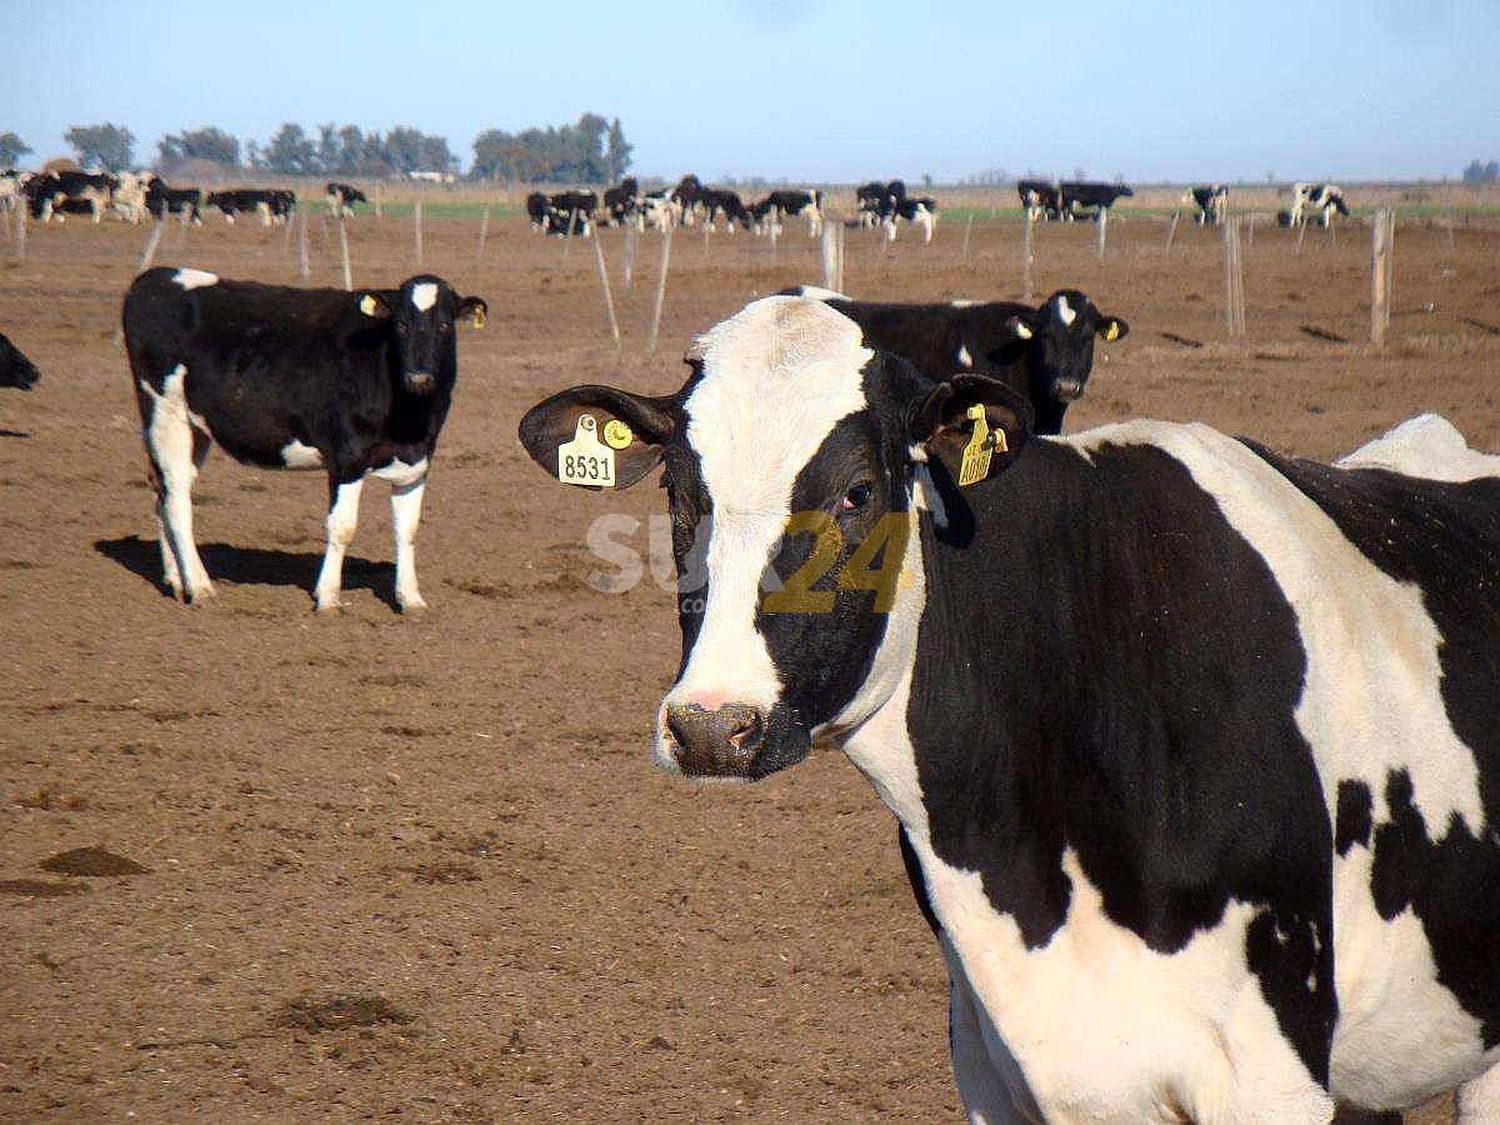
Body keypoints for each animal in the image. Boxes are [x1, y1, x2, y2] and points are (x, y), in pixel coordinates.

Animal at [124, 267, 486, 612]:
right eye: (400, 324)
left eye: (445, 325)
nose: (418, 377)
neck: (409, 418)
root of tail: (156, 276)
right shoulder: (347, 457)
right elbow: (342, 526)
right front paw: (328, 597)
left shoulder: (417, 462)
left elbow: (407, 530)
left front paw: (411, 599)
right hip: (165, 411)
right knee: (177, 499)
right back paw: (200, 588)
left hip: (194, 427)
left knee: (163, 489)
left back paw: (176, 580)